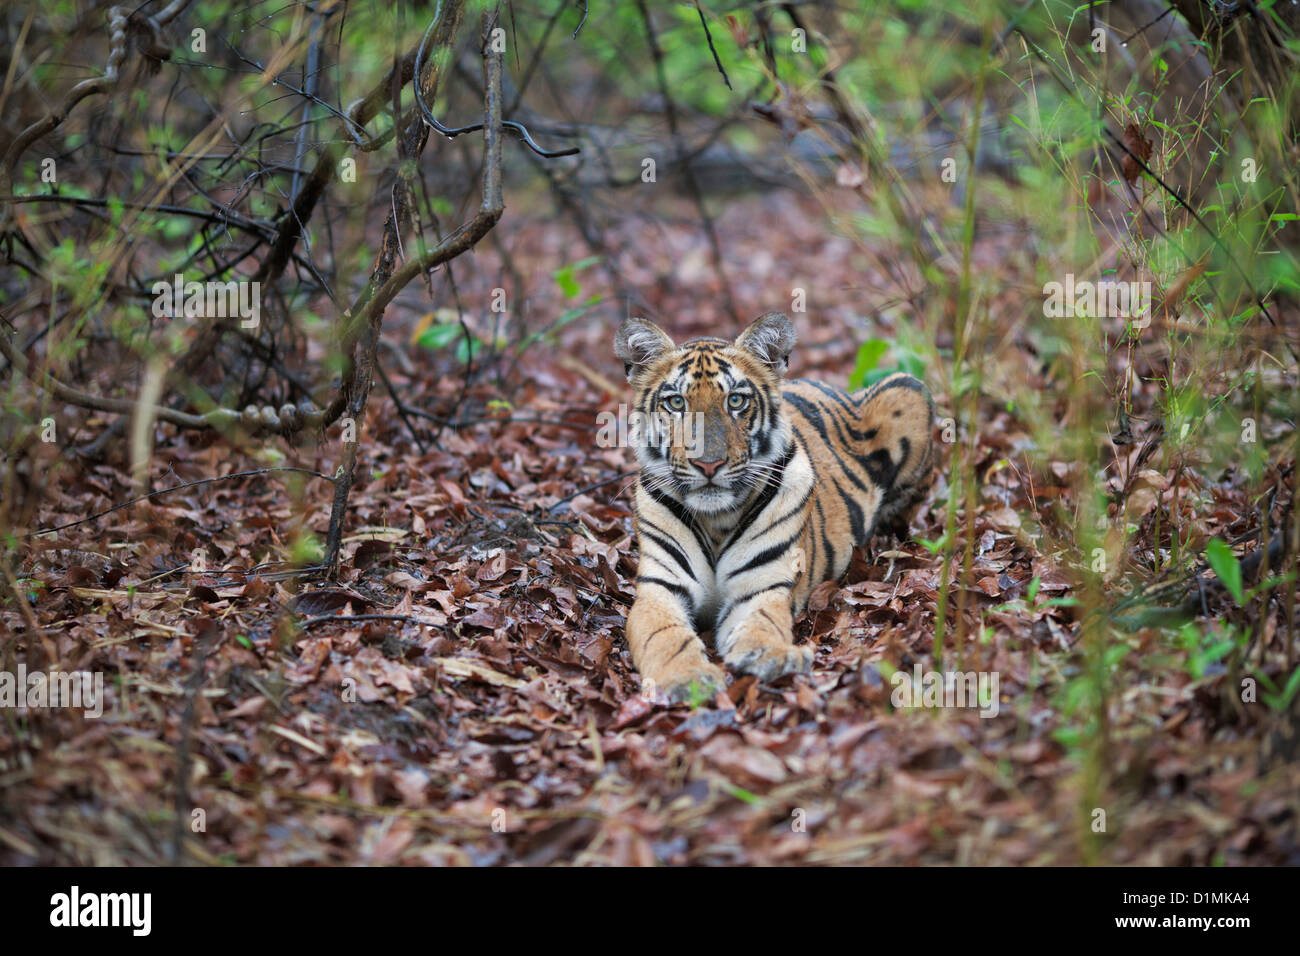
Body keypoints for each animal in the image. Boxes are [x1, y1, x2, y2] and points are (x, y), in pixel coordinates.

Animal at [613, 314, 930, 702]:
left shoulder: (763, 584)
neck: (717, 520)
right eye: (675, 403)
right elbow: (665, 635)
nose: (708, 464)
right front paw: (687, 677)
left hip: (907, 386)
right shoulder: (659, 588)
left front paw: (772, 655)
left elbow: (760, 622)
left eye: (736, 401)